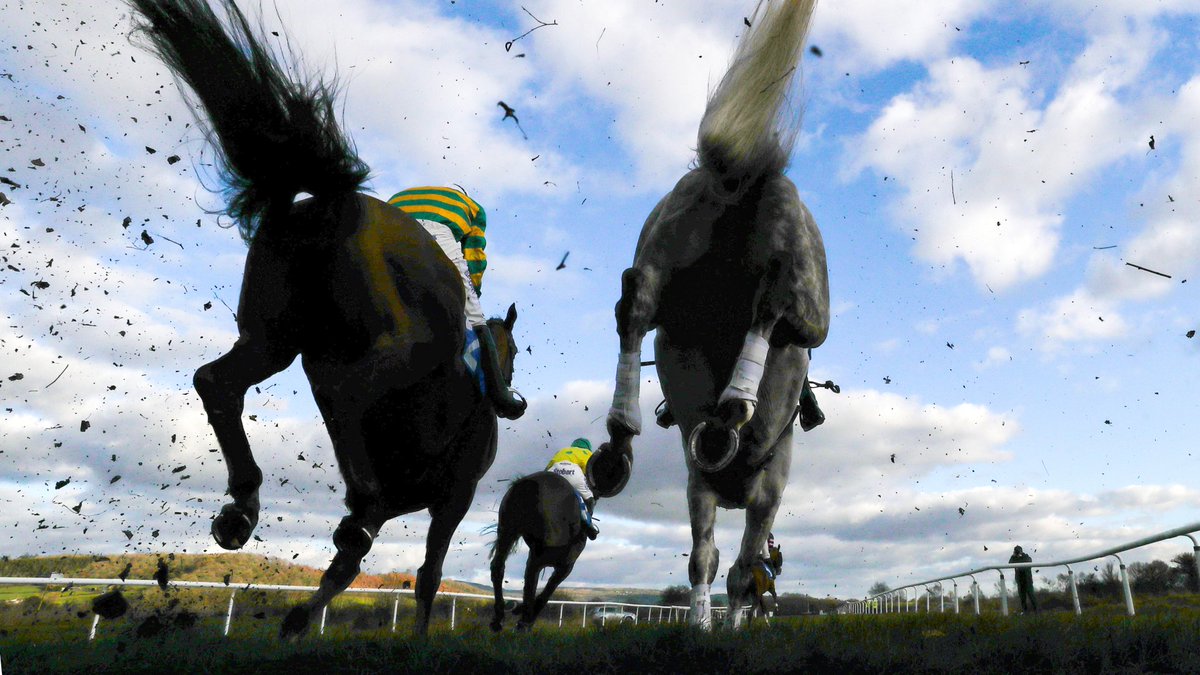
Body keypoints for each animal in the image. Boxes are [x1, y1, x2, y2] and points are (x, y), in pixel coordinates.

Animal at [129, 0, 523, 634]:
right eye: (513, 357)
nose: (511, 398)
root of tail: (334, 201)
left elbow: (345, 569)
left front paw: (296, 622)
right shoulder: (455, 495)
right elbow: (426, 573)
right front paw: (415, 639)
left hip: (271, 337)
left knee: (218, 381)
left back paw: (242, 508)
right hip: (395, 348)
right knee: (341, 390)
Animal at [487, 470, 590, 629]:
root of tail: (528, 484)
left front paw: (517, 608)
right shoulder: (566, 566)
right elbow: (546, 590)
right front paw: (524, 613)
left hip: (507, 530)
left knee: (498, 566)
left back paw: (499, 617)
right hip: (542, 551)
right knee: (531, 577)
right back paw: (524, 621)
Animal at [597, 1, 825, 629]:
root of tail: (734, 182)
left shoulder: (698, 488)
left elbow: (707, 557)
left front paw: (705, 620)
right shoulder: (762, 495)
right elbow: (738, 568)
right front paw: (719, 620)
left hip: (663, 243)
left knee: (636, 305)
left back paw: (621, 439)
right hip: (807, 293)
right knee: (774, 306)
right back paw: (731, 410)